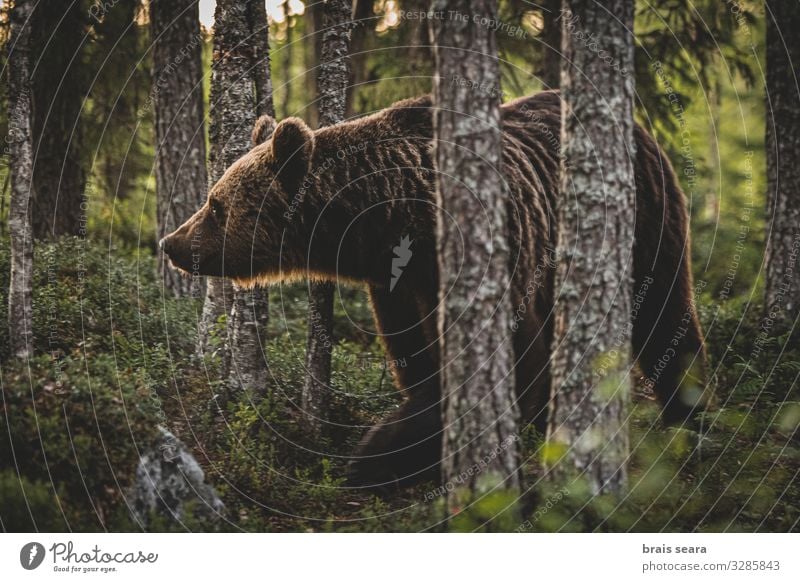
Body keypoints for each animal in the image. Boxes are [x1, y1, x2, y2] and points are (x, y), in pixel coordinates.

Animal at [161, 91, 708, 490]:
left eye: (216, 204)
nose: (172, 242)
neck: (386, 218)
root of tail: (640, 128)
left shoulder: (481, 255)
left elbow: (508, 357)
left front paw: (376, 456)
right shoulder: (397, 285)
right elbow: (417, 357)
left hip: (643, 223)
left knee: (664, 316)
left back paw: (689, 416)